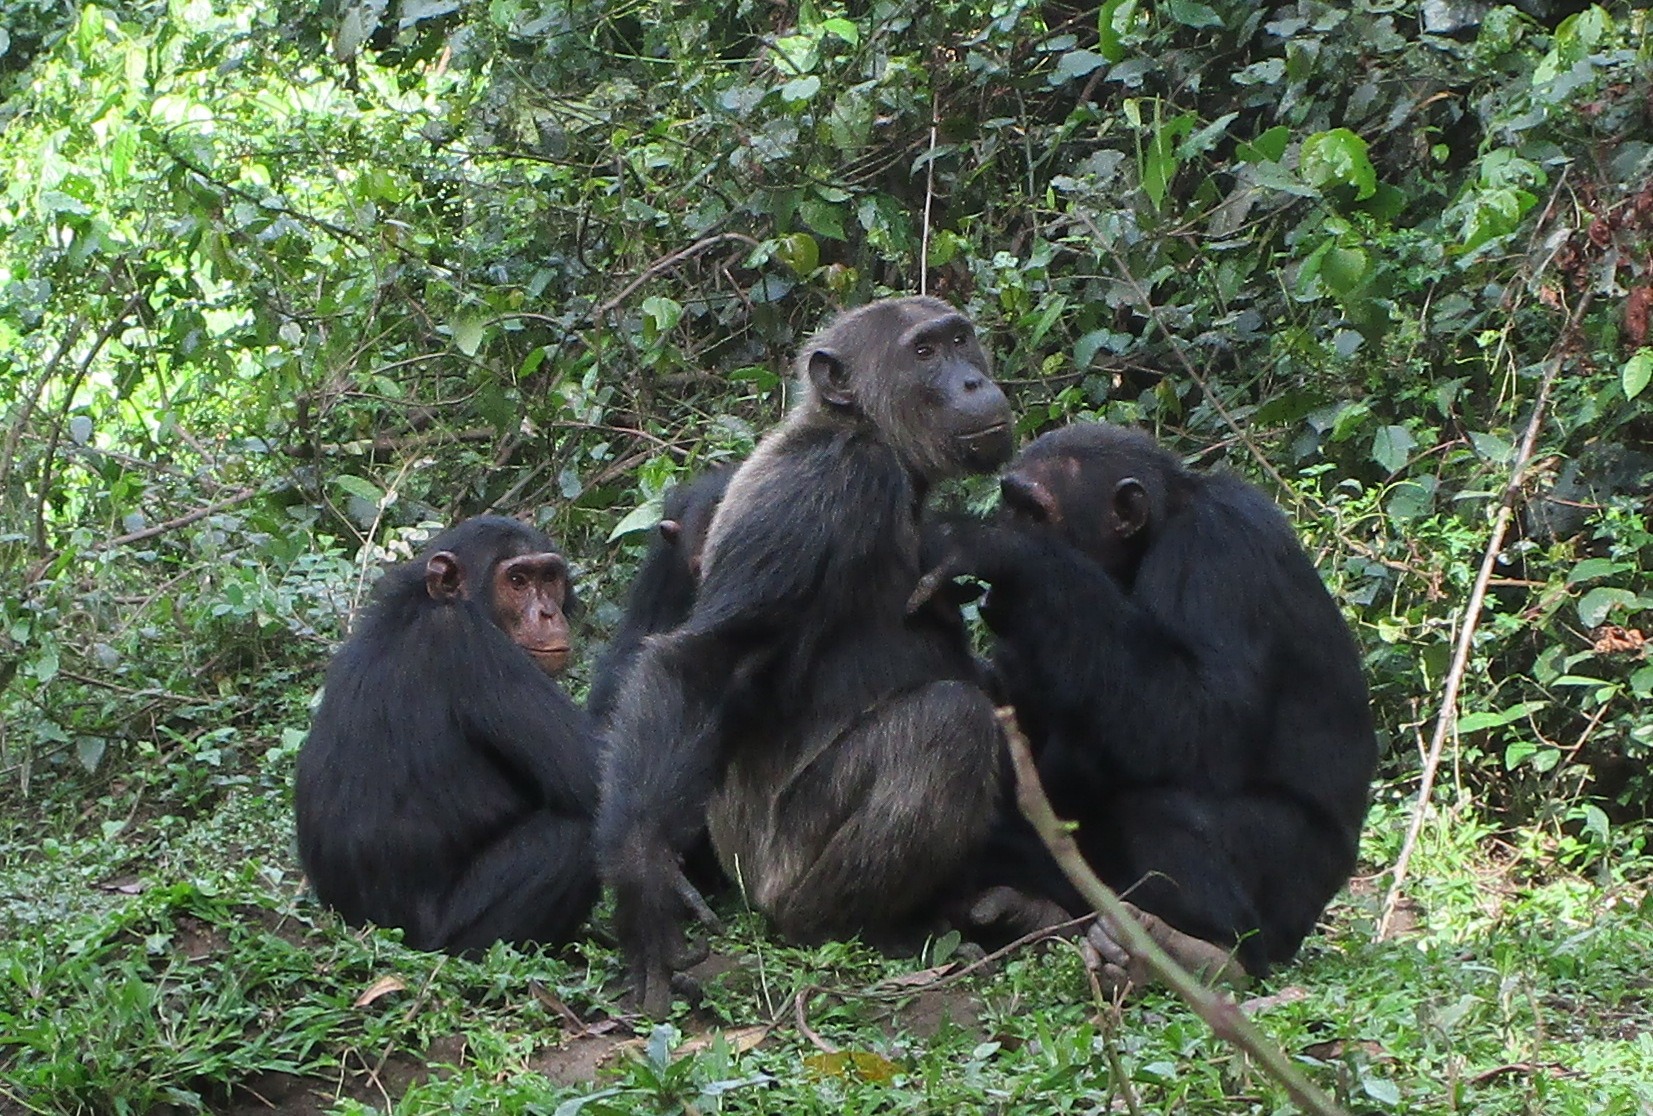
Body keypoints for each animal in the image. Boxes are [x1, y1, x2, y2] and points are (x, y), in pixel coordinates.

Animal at [295, 519, 601, 958]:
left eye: (549, 578)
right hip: (446, 936)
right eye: (518, 580)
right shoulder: (474, 647)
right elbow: (601, 776)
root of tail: (357, 924)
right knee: (579, 831)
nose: (547, 612)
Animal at [925, 423, 1375, 985]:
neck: (1152, 538)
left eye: (1032, 513)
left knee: (1162, 808)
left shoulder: (1219, 548)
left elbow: (1204, 718)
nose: (1002, 520)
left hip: (1294, 892)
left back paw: (1194, 952)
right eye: (1010, 502)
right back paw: (1027, 911)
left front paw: (1001, 550)